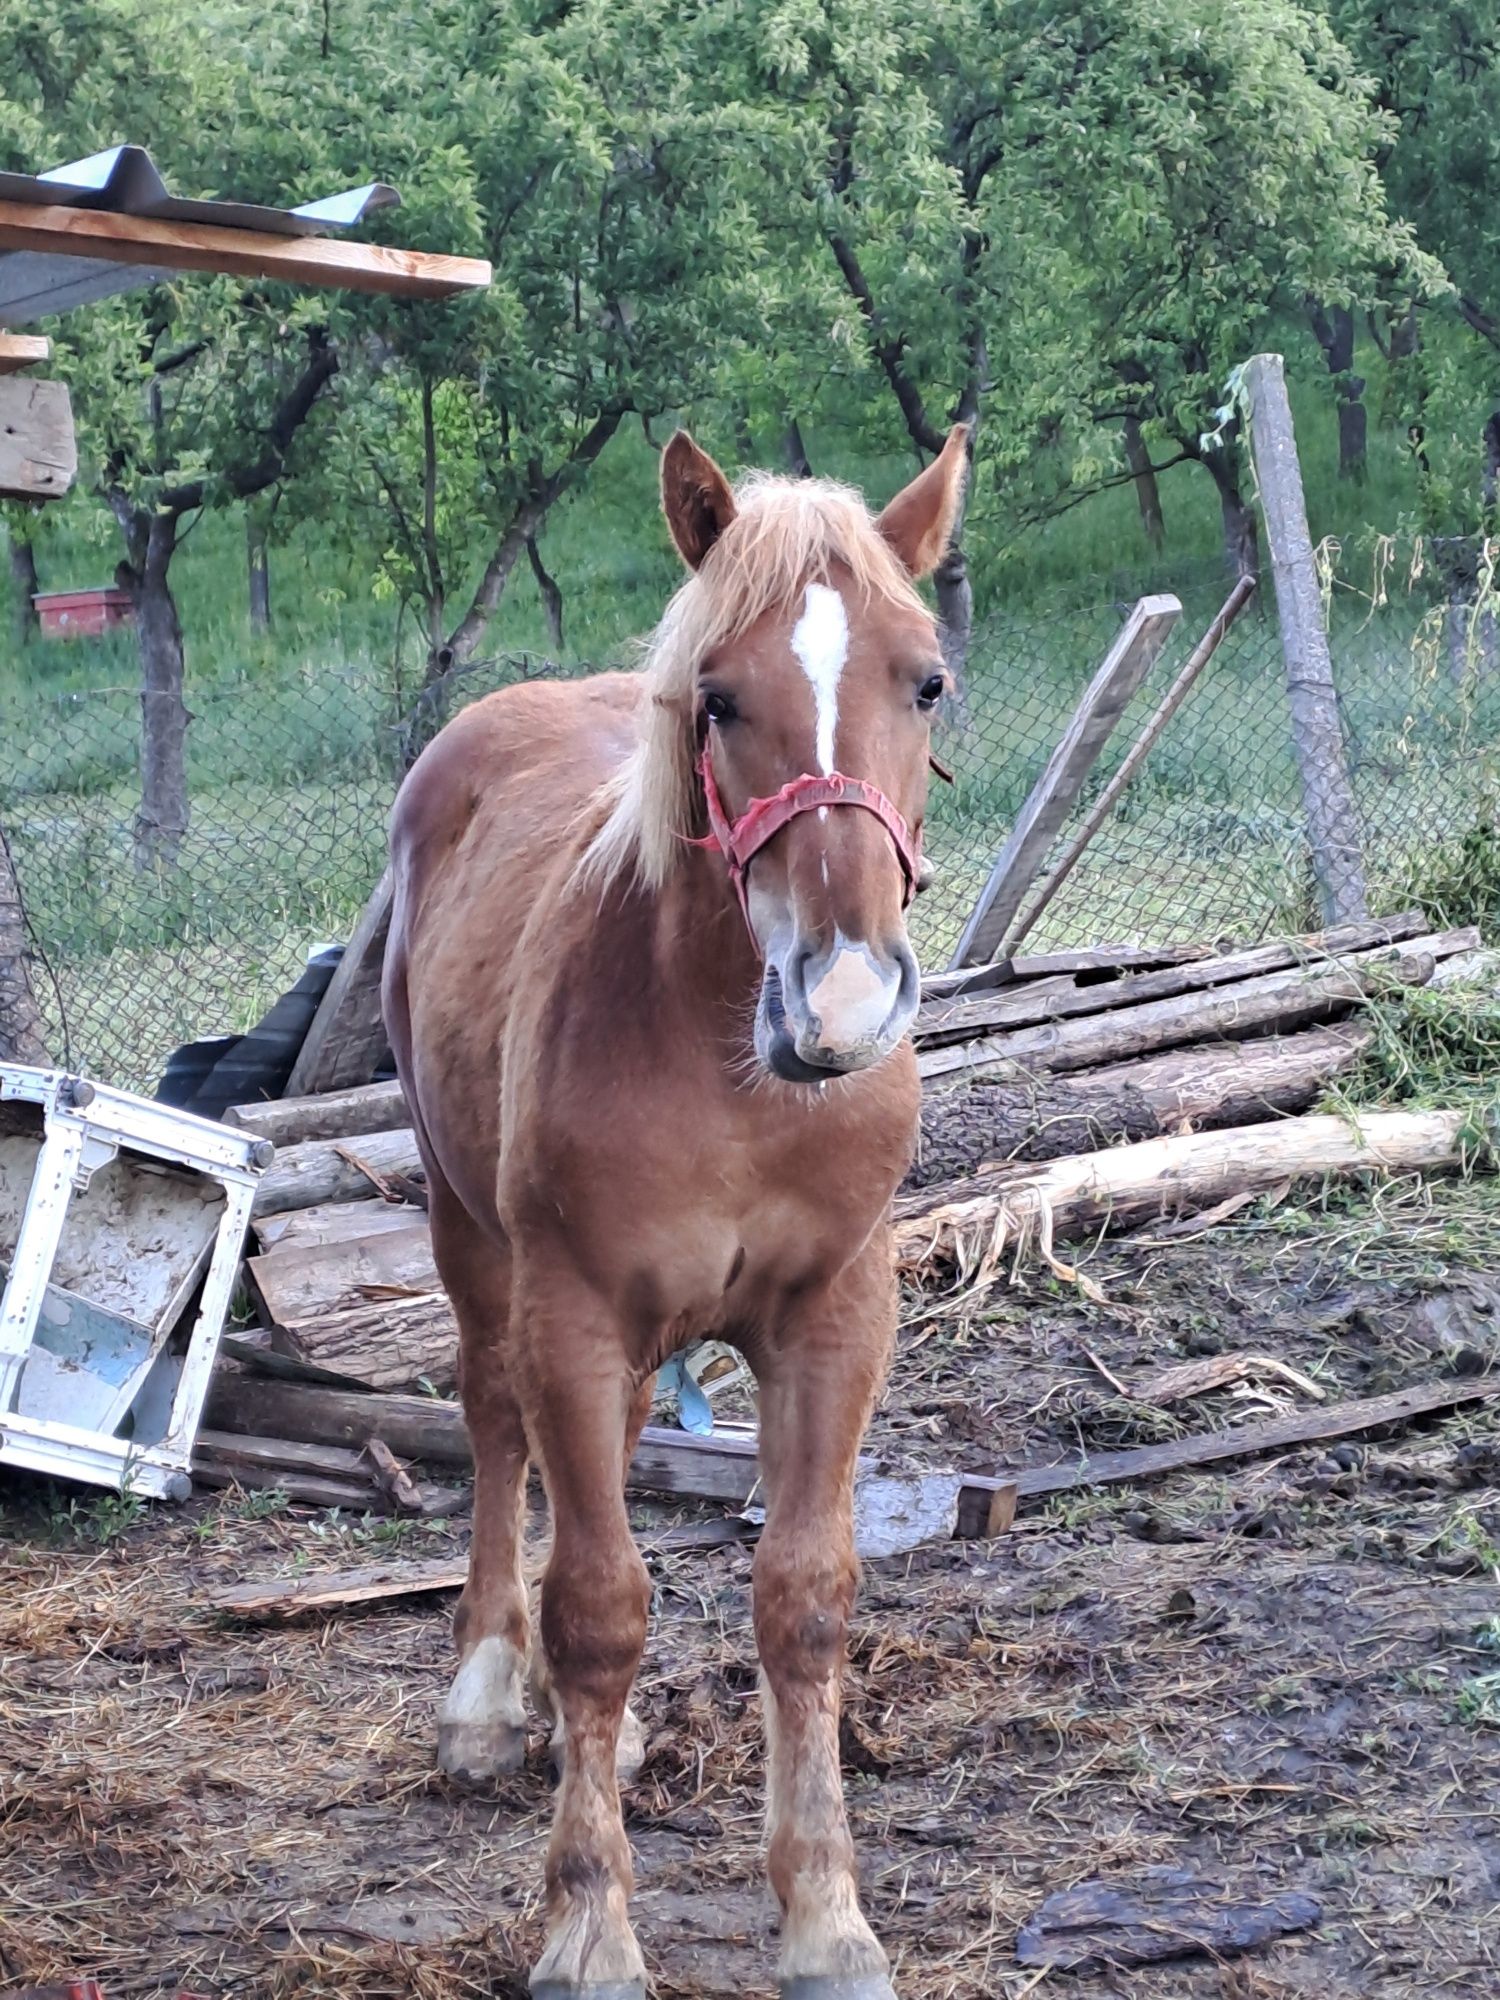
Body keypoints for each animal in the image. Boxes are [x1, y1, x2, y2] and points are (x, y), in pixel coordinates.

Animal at [388, 426, 968, 2000]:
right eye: (718, 697)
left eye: (927, 679)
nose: (844, 1000)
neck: (729, 1062)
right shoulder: (573, 1317)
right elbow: (599, 1609)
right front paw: (590, 1924)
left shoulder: (834, 1317)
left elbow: (804, 1596)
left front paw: (827, 1917)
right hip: (473, 1240)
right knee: (495, 1430)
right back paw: (488, 1695)